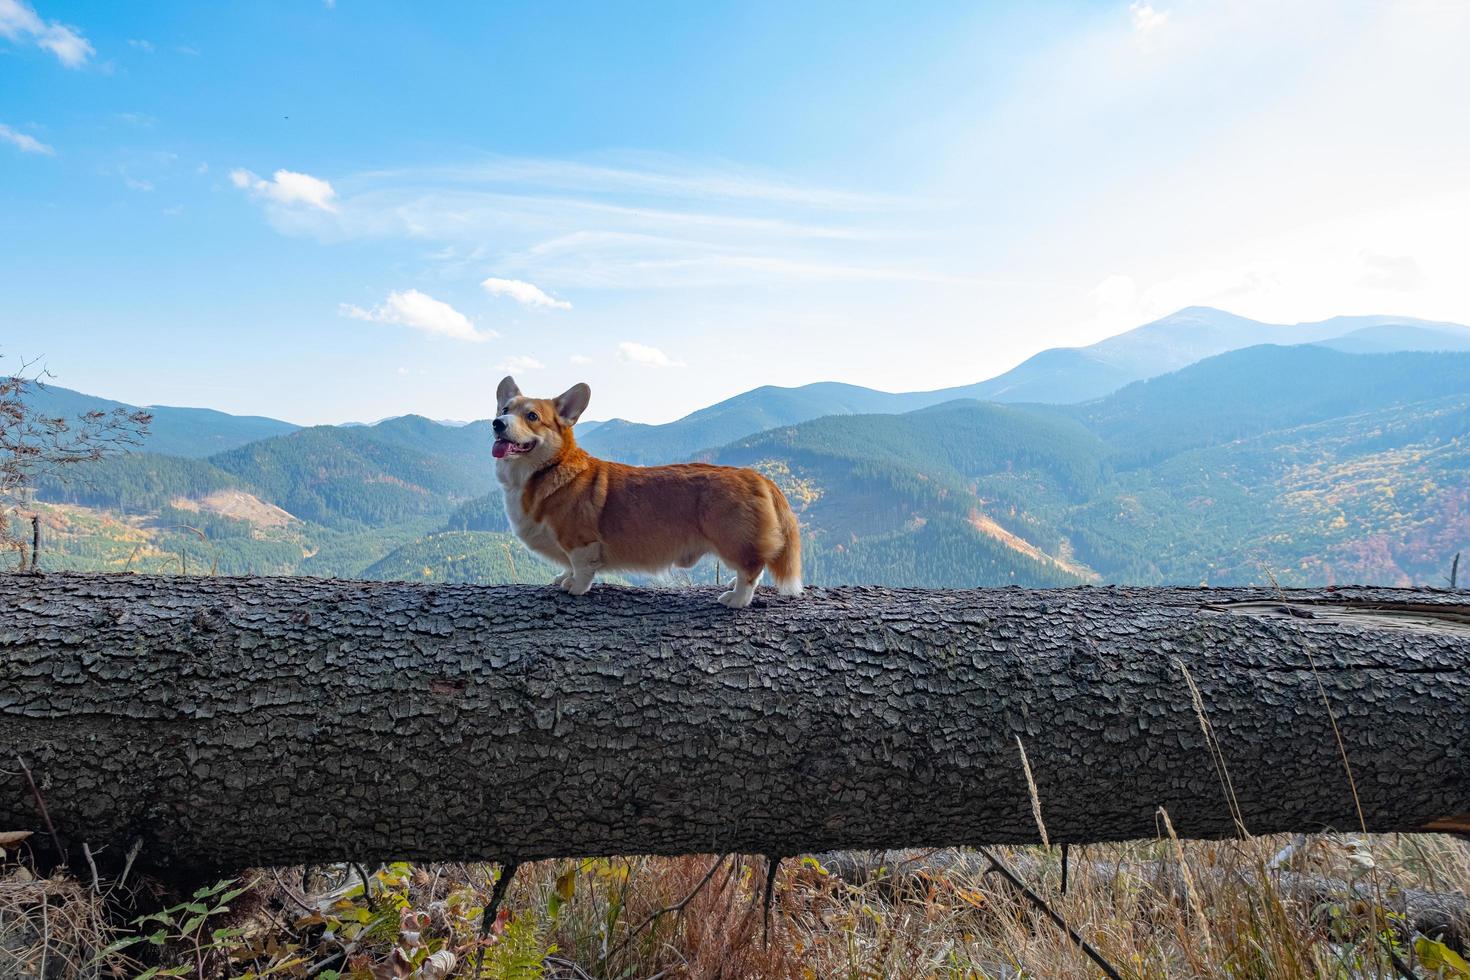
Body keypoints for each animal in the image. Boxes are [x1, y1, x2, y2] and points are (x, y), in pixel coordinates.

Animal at [490, 376, 805, 605]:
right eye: (505, 410)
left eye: (532, 416)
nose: (497, 423)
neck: (545, 470)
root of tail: (754, 475)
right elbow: (567, 564)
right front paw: (561, 577)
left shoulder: (580, 541)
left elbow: (580, 568)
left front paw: (575, 587)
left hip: (731, 538)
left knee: (750, 568)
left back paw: (736, 598)